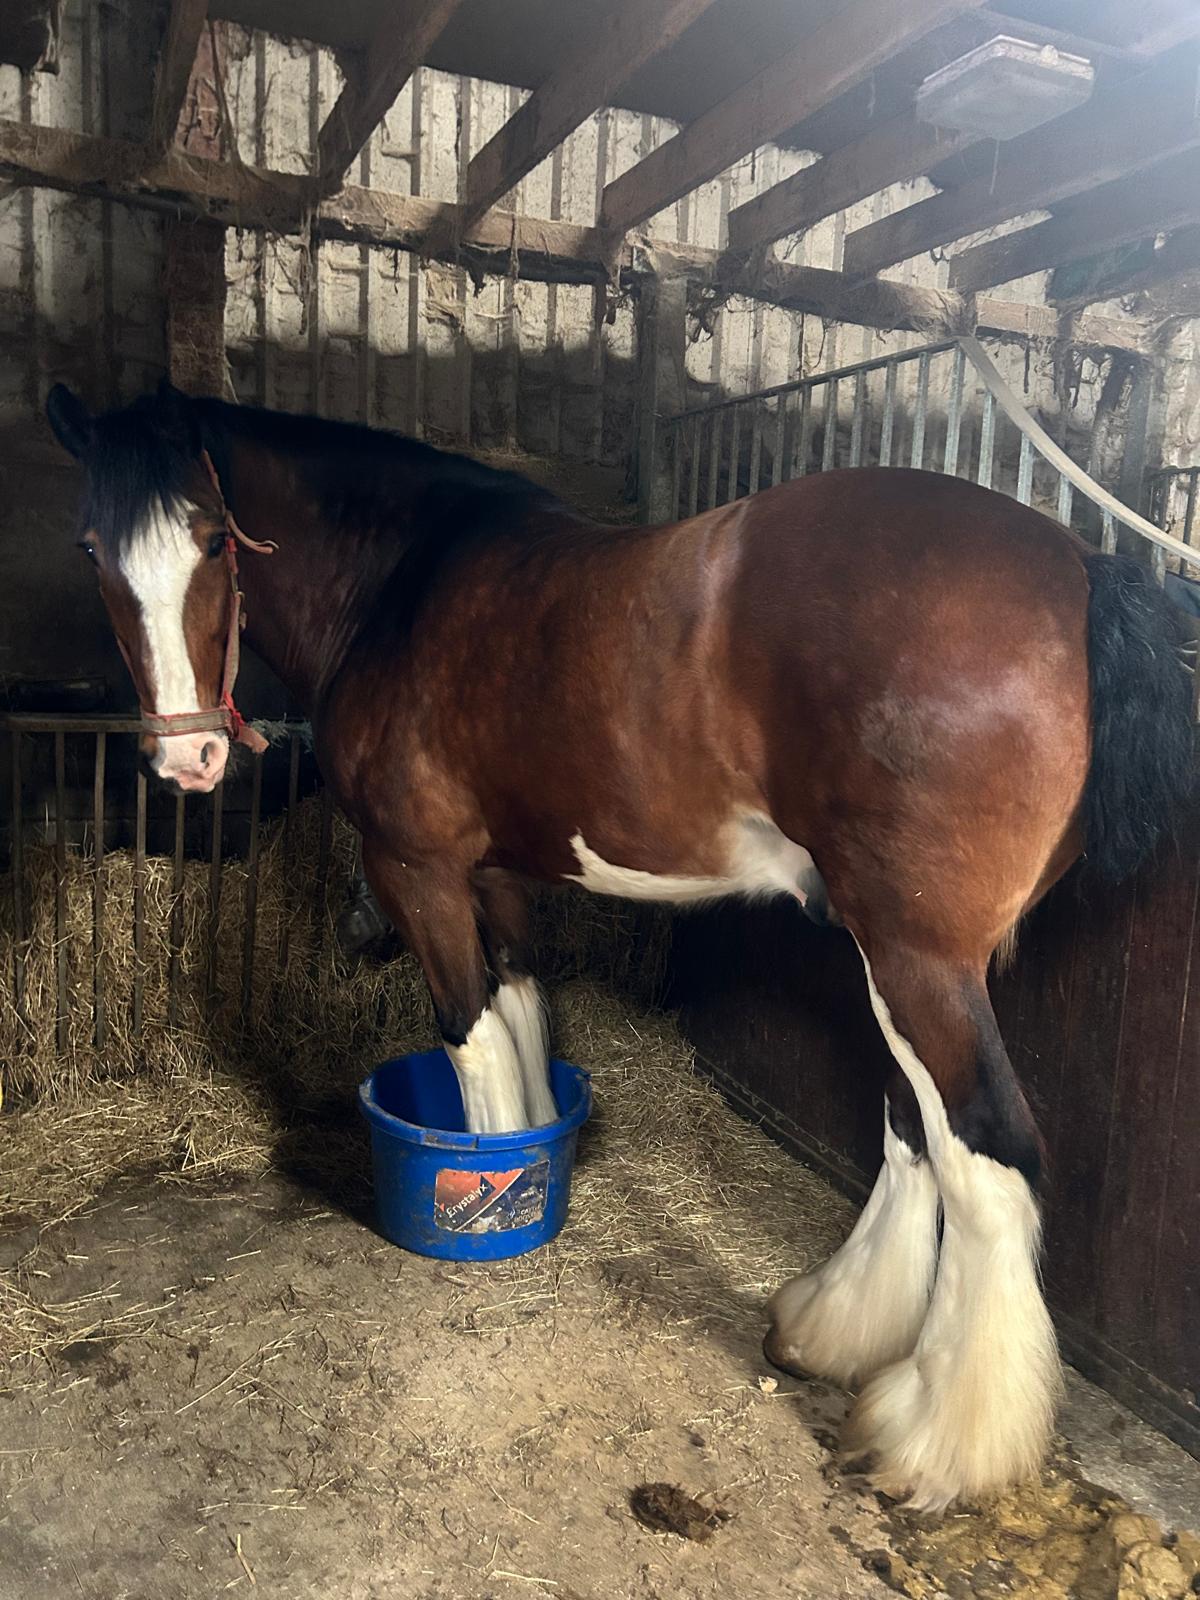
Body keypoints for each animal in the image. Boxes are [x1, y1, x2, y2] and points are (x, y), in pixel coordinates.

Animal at [45, 380, 1193, 1512]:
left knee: (990, 1153)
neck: (401, 582)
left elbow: (470, 1036)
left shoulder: (418, 870)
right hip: (901, 956)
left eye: (212, 539)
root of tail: (1080, 571)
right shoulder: (495, 875)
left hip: (918, 957)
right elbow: (519, 1014)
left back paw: (934, 1442)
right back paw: (835, 1327)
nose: (188, 761)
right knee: (915, 1124)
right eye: (92, 548)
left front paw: (489, 1216)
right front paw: (535, 1165)